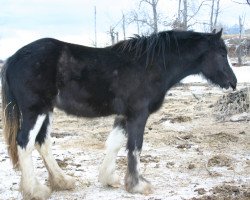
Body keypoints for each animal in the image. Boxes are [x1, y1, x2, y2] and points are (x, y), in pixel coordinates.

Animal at [1, 28, 236, 199]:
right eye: (222, 53)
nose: (232, 82)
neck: (150, 65)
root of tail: (12, 59)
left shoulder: (124, 115)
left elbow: (115, 144)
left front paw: (109, 178)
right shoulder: (139, 114)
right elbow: (135, 148)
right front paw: (137, 185)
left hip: (46, 111)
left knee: (43, 143)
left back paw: (62, 181)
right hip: (35, 111)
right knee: (24, 143)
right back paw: (35, 190)